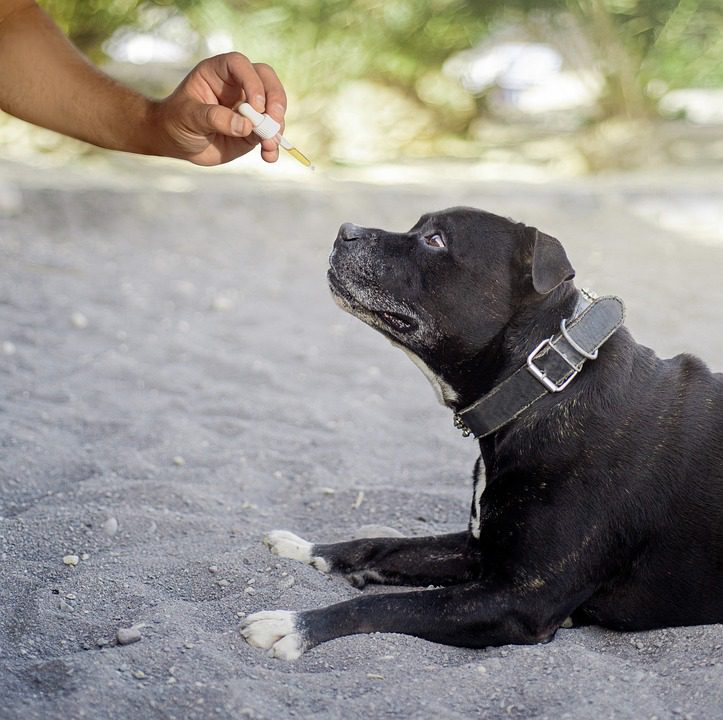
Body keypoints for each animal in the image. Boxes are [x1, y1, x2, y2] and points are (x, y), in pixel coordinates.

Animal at [240, 207, 720, 660]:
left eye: (436, 240)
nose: (346, 230)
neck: (542, 388)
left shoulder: (519, 599)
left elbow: (385, 605)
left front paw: (295, 625)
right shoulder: (481, 550)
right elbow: (380, 544)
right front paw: (305, 549)